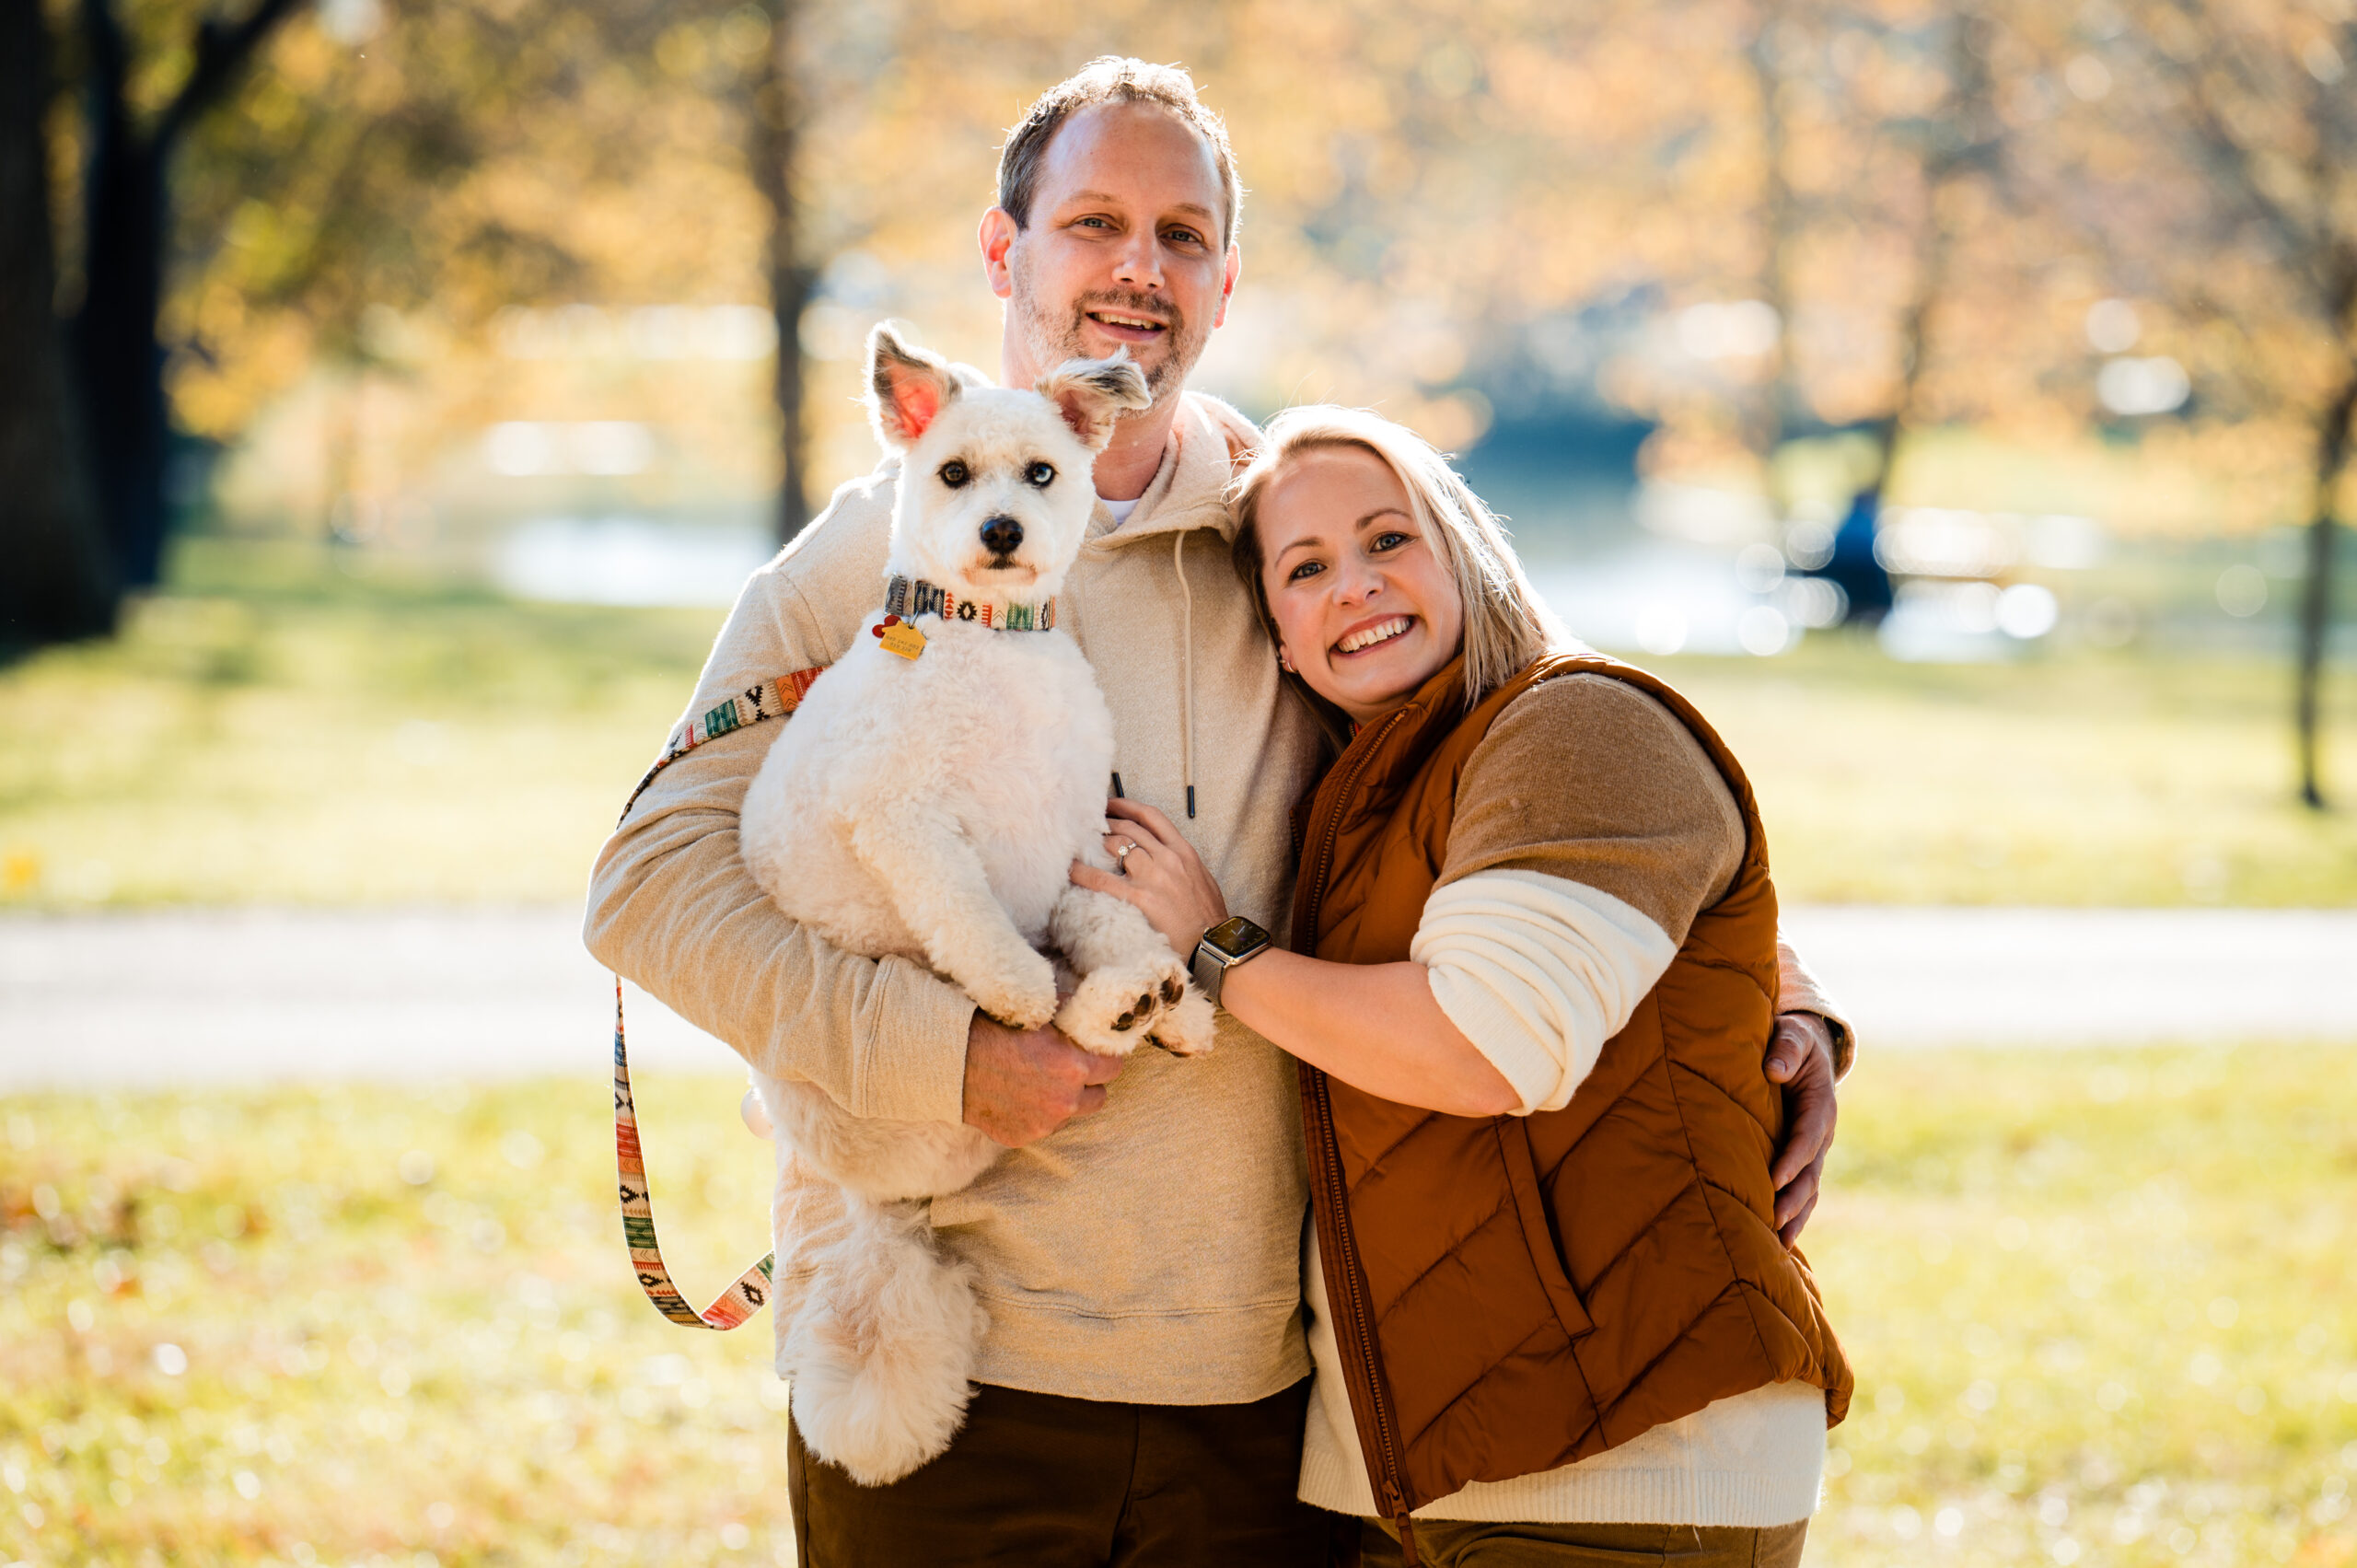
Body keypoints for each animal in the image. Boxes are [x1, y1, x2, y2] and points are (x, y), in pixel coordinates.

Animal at [735, 320, 1215, 1481]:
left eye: (1042, 472)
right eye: (952, 473)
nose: (1001, 528)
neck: (986, 637)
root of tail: (877, 1203)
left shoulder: (1075, 839)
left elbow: (1108, 914)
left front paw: (1146, 979)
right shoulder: (905, 822)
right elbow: (974, 919)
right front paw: (1020, 990)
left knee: (1108, 989)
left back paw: (1147, 1003)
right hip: (895, 1089)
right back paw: (1095, 1008)